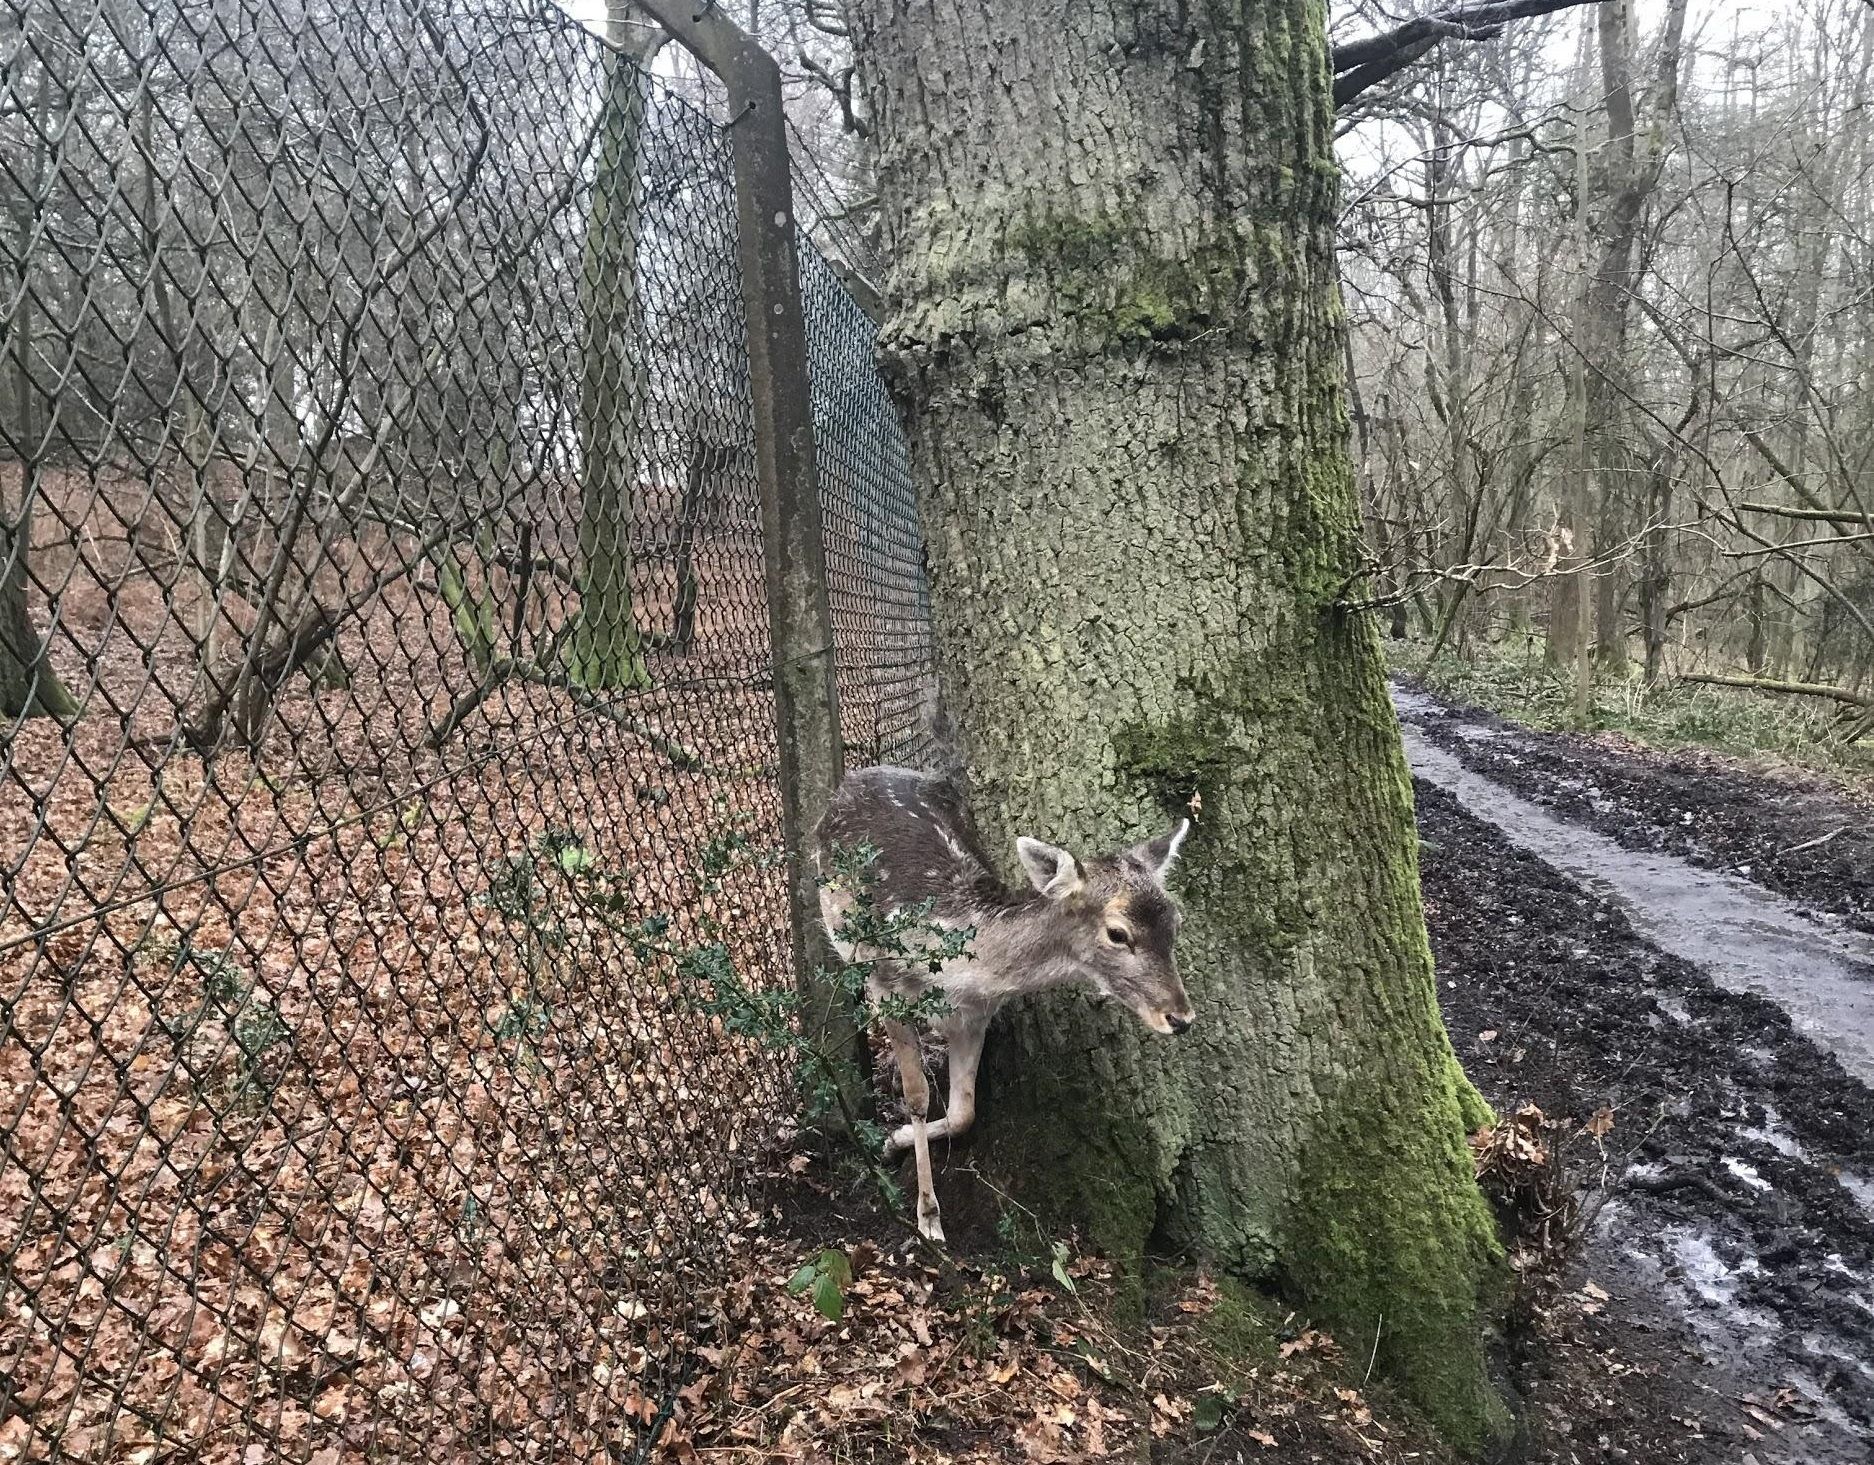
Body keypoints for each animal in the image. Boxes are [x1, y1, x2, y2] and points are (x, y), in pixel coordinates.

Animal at [815, 764, 1195, 1243]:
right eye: (1117, 933)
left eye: (1176, 923)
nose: (1181, 1017)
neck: (952, 968)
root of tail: (860, 773)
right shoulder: (888, 987)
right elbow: (919, 1097)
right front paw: (927, 1216)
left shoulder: (976, 1014)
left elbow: (964, 1110)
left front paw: (895, 1138)